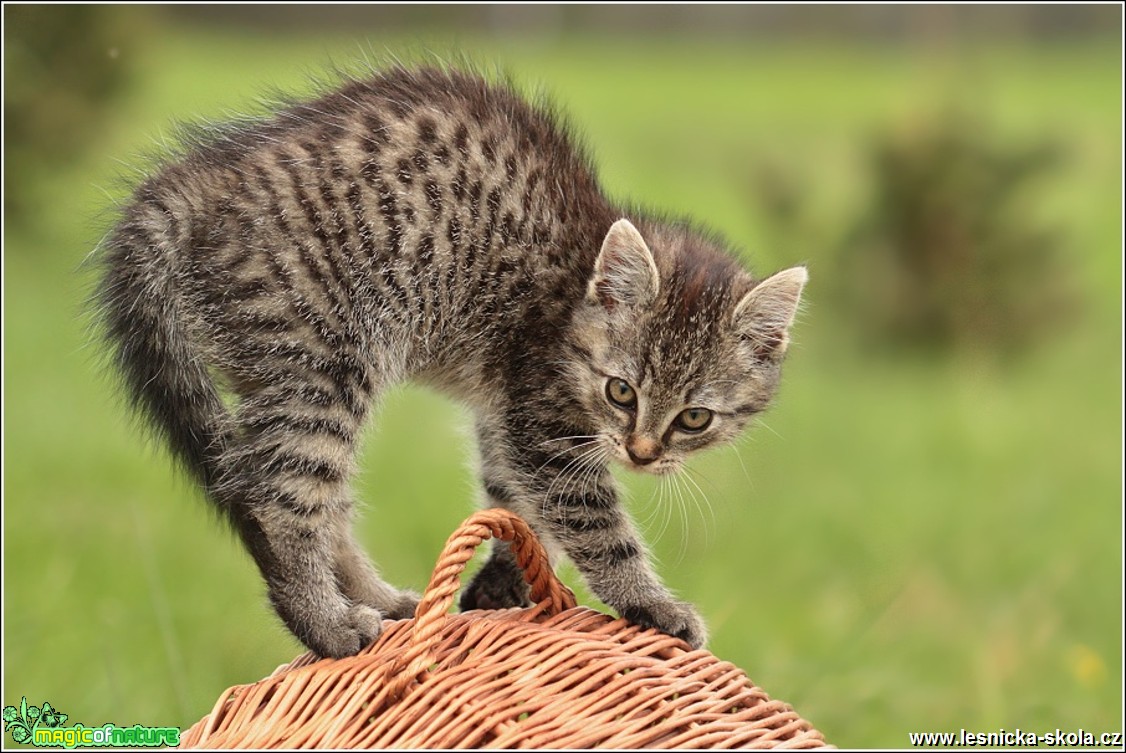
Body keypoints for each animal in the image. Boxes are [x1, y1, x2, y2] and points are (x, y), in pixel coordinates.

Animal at [94, 64, 801, 652]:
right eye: (621, 391)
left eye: (694, 418)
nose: (643, 454)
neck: (575, 289)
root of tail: (211, 175)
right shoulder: (539, 412)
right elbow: (593, 521)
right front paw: (650, 603)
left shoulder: (504, 407)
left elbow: (513, 496)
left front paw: (505, 582)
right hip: (323, 360)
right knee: (278, 501)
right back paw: (326, 624)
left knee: (325, 503)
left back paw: (379, 600)